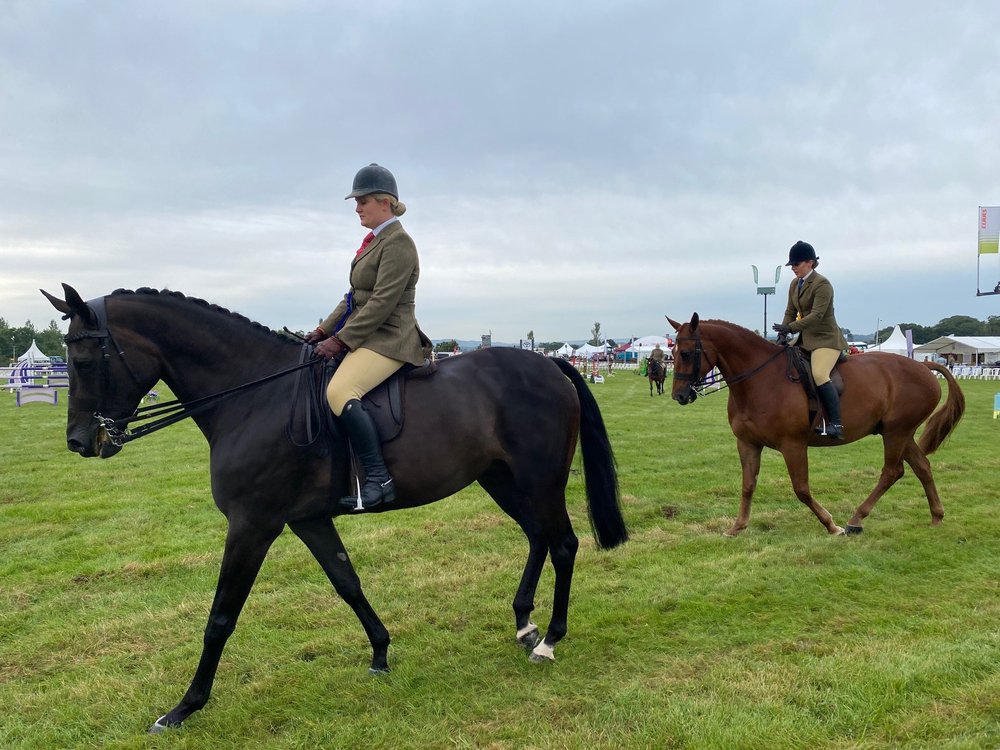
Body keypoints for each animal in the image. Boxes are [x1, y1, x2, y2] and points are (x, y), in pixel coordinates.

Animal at [668, 314, 964, 536]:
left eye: (686, 353)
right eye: (672, 351)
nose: (679, 396)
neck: (760, 380)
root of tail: (923, 367)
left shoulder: (793, 445)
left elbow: (801, 489)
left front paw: (831, 525)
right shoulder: (748, 443)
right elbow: (748, 485)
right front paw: (737, 527)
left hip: (896, 432)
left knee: (892, 472)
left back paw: (855, 520)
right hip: (901, 433)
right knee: (922, 467)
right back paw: (936, 516)